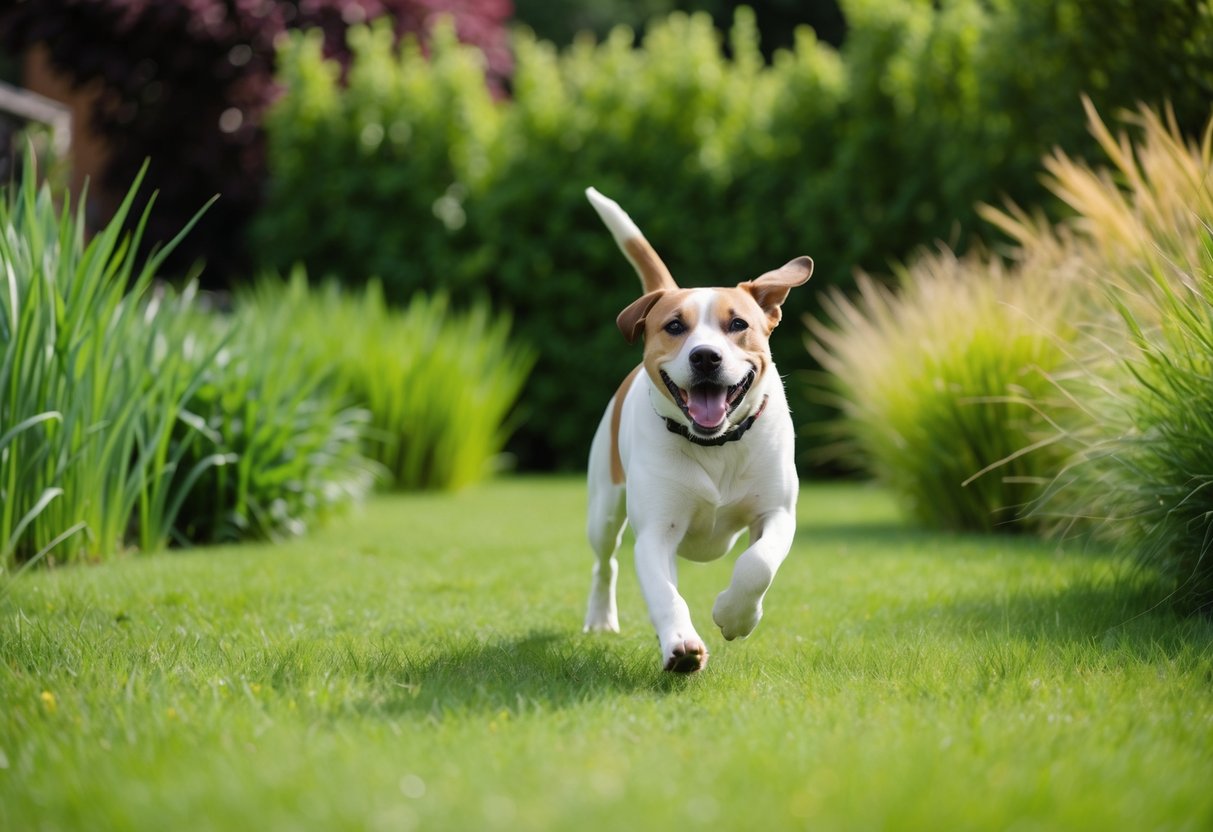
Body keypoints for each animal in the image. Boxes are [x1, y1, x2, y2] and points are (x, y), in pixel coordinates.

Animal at [584, 187, 815, 669]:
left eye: (738, 324)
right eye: (674, 326)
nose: (705, 356)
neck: (716, 445)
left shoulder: (777, 512)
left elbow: (757, 565)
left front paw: (734, 615)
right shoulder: (656, 531)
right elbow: (664, 592)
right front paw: (681, 646)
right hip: (604, 504)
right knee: (606, 562)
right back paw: (601, 618)